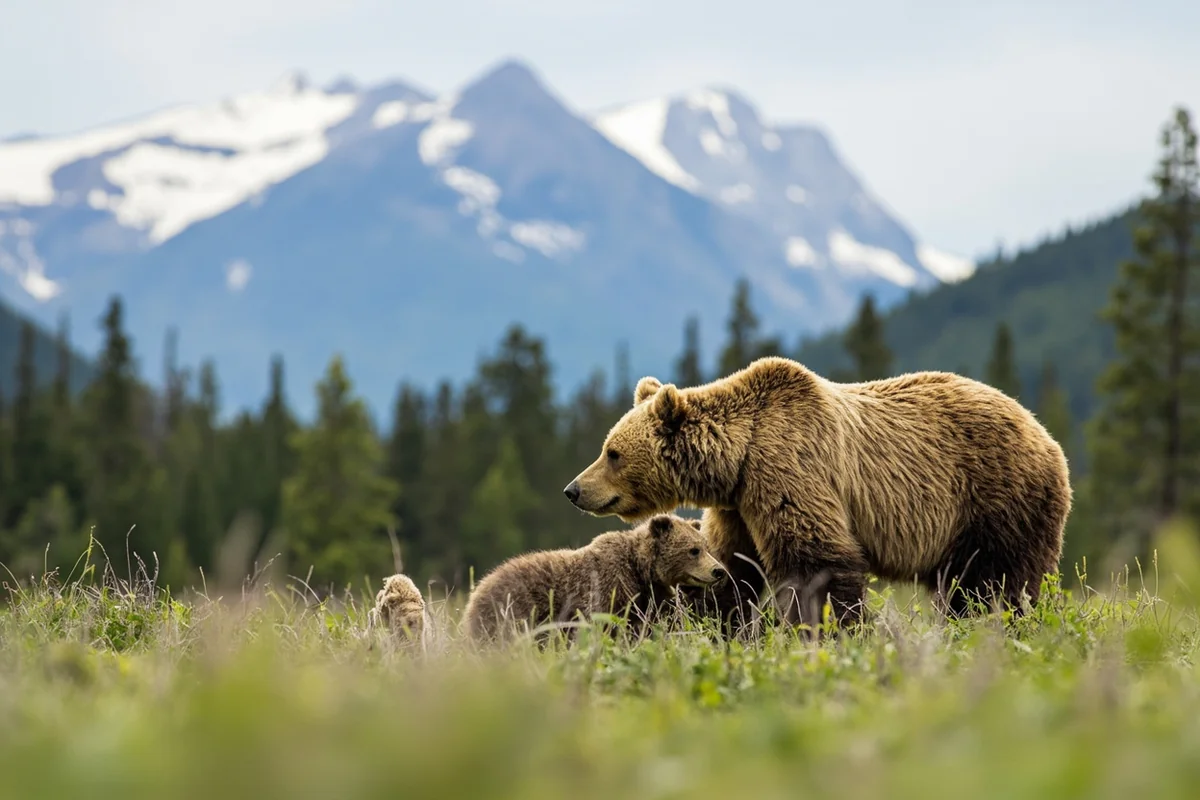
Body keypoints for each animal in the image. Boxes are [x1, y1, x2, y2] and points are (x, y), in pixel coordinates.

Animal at [462, 514, 728, 645]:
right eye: (693, 550)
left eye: (706, 547)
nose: (719, 571)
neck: (642, 570)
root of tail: (476, 591)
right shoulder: (607, 587)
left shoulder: (650, 598)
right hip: (510, 612)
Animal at [562, 356, 1072, 630]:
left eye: (612, 453)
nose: (573, 489)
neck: (739, 458)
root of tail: (1044, 433)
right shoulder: (740, 506)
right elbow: (730, 568)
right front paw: (716, 622)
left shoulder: (792, 470)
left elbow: (817, 563)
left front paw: (827, 631)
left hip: (994, 499)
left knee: (995, 582)